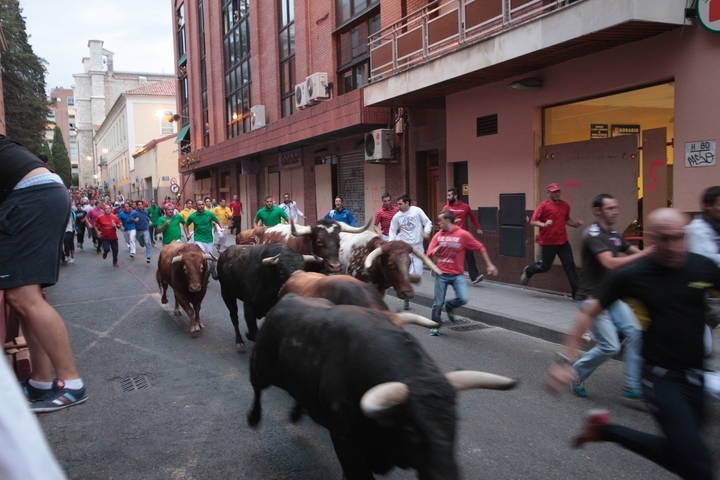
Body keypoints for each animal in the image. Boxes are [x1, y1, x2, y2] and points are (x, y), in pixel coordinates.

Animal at [249, 296, 516, 480]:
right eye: (411, 429)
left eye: (454, 421)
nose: (445, 476)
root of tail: (286, 299)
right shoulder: (346, 442)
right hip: (261, 368)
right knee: (257, 390)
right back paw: (254, 418)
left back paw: (296, 413)